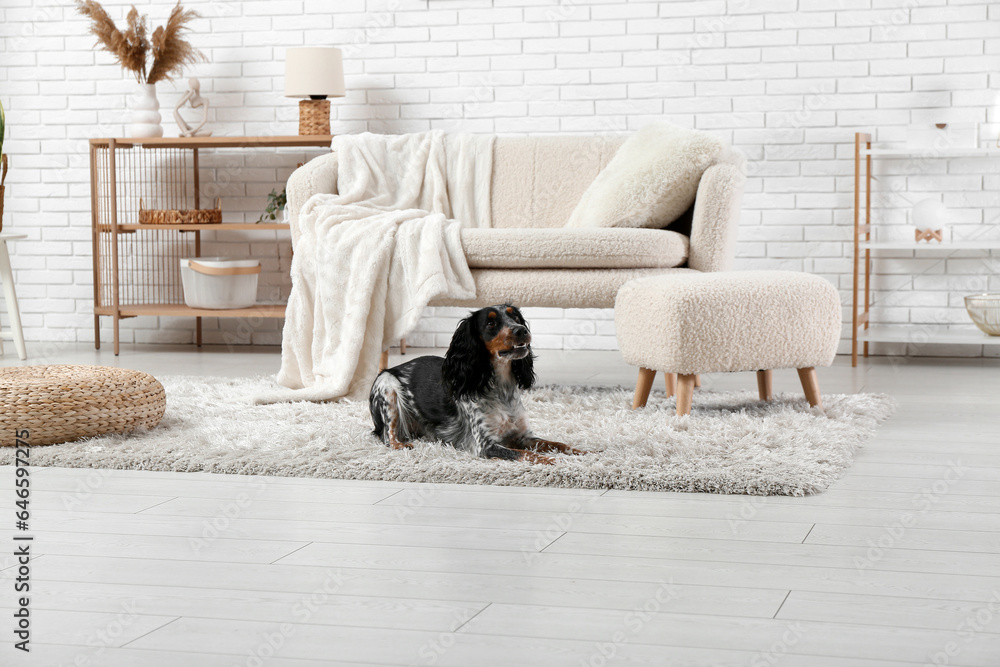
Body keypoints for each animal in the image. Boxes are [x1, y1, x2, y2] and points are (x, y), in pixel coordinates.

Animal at [370, 304, 584, 464]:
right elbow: (526, 454)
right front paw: (552, 461)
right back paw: (401, 445)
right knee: (387, 436)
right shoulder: (485, 445)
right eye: (490, 323)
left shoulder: (524, 436)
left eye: (515, 317)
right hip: (387, 385)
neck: (501, 389)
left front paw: (581, 452)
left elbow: (557, 444)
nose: (522, 330)